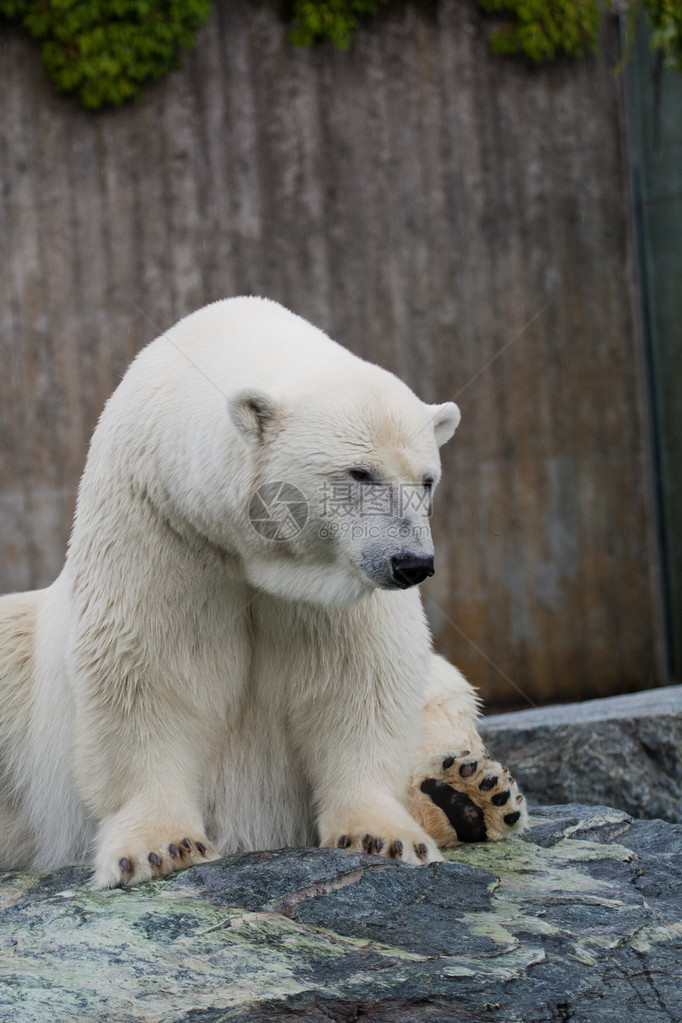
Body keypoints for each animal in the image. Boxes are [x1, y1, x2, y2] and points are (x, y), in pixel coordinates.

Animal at [0, 298, 527, 887]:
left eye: (427, 479)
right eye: (360, 472)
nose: (411, 563)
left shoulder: (333, 590)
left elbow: (360, 679)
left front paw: (381, 836)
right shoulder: (160, 524)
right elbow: (148, 670)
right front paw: (164, 847)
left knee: (444, 691)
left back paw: (465, 793)